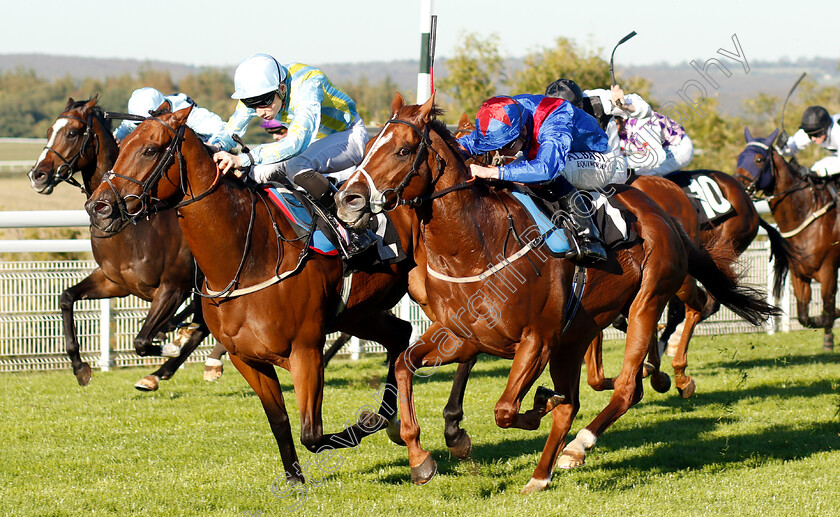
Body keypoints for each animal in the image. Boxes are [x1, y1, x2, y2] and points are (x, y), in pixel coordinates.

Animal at [27, 97, 215, 390]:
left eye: (71, 133)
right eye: (49, 131)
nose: (38, 175)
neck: (134, 229)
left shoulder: (174, 287)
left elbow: (142, 340)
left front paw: (168, 343)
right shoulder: (114, 282)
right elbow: (67, 297)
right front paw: (80, 367)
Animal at [85, 104, 420, 484]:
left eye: (150, 150)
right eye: (121, 147)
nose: (98, 207)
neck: (248, 258)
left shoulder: (306, 350)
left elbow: (312, 434)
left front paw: (364, 424)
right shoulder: (247, 358)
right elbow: (280, 421)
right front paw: (294, 480)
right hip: (359, 312)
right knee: (400, 334)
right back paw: (392, 419)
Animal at [334, 93, 776, 492]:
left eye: (404, 150)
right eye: (368, 147)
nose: (347, 199)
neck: (477, 245)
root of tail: (665, 215)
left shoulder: (538, 339)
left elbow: (506, 410)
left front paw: (536, 404)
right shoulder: (464, 336)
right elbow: (404, 365)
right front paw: (420, 459)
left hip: (645, 302)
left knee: (626, 387)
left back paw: (581, 443)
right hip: (577, 333)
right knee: (578, 402)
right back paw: (540, 475)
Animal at [736, 128, 832, 350]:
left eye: (759, 159)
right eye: (739, 158)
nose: (738, 184)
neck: (806, 211)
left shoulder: (828, 270)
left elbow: (828, 310)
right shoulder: (799, 273)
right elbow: (805, 316)